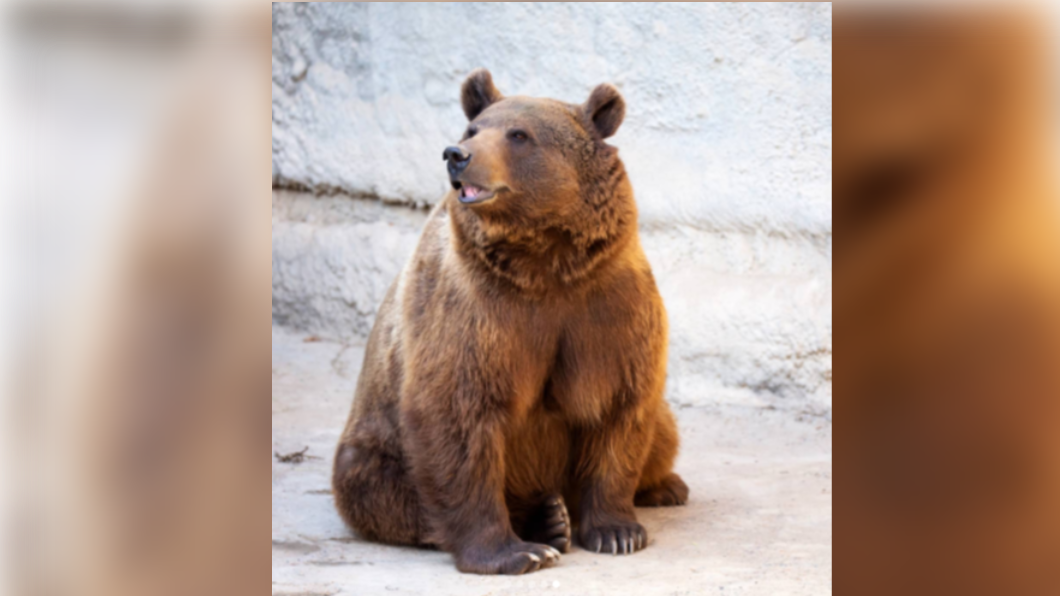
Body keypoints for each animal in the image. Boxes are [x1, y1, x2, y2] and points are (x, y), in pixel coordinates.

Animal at [332, 68, 688, 575]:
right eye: (472, 129)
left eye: (519, 135)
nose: (456, 155)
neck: (545, 264)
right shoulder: (475, 313)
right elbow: (458, 415)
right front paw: (515, 552)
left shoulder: (606, 307)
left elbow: (619, 406)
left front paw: (618, 531)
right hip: (377, 444)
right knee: (379, 490)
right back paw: (547, 521)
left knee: (663, 430)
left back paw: (660, 488)